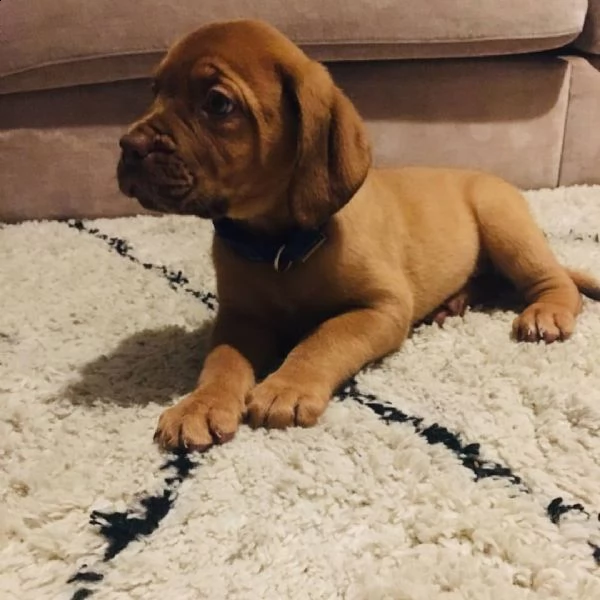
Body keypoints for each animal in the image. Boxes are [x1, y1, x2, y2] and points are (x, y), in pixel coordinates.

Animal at [117, 17, 600, 450]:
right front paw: (201, 405)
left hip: (503, 222)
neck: (277, 245)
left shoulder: (382, 307)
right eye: (154, 91)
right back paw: (456, 300)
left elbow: (323, 337)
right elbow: (222, 360)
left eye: (218, 104)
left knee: (554, 281)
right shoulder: (240, 316)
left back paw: (545, 312)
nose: (128, 146)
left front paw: (286, 386)